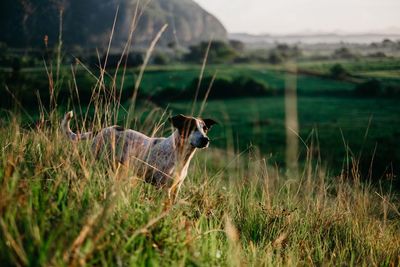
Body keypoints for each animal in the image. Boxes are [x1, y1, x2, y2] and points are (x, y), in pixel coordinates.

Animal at [61, 111, 217, 201]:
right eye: (191, 128)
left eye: (205, 129)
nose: (206, 139)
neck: (179, 154)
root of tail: (100, 131)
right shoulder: (164, 189)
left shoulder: (175, 189)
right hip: (100, 164)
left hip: (116, 168)